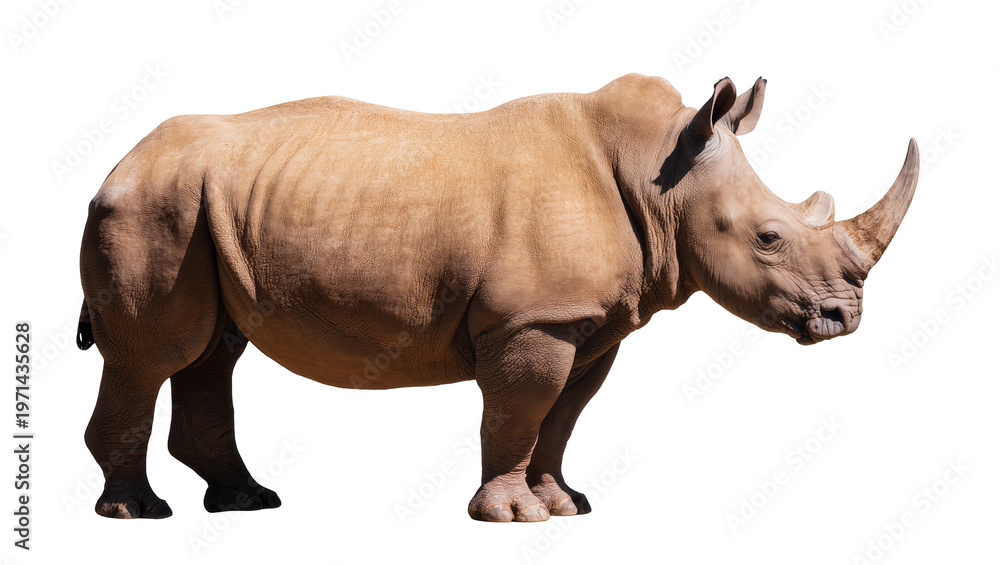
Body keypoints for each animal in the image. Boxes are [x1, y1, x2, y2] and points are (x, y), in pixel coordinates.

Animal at [76, 74, 918, 522]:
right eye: (769, 237)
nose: (845, 318)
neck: (661, 176)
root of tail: (116, 164)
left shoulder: (589, 324)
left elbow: (563, 416)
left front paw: (566, 503)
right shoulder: (531, 321)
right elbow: (519, 410)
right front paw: (512, 516)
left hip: (197, 206)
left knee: (209, 353)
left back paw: (247, 501)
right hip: (152, 205)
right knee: (155, 354)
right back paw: (138, 513)